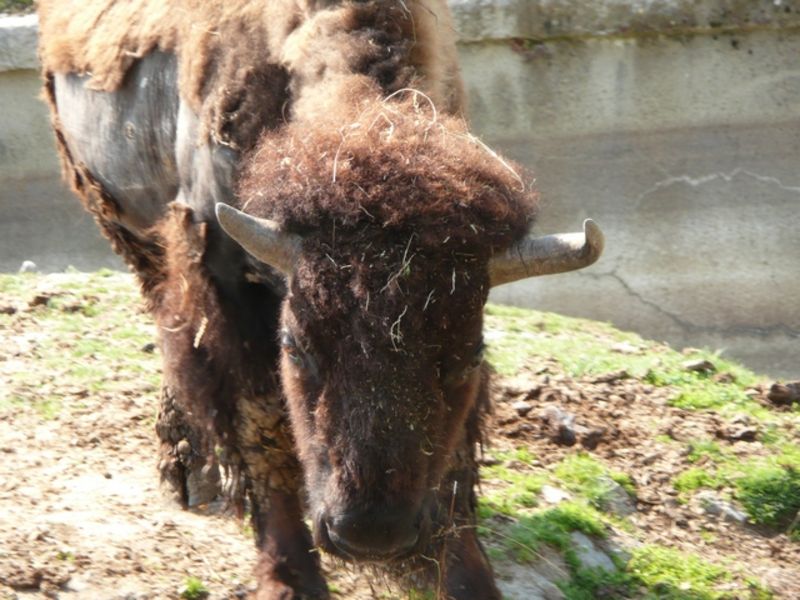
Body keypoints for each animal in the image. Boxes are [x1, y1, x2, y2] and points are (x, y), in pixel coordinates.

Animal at [37, 1, 603, 598]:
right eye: (296, 346)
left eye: (469, 355)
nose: (371, 534)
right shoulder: (226, 281)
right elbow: (261, 424)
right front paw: (289, 579)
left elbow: (455, 460)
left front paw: (467, 578)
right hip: (125, 229)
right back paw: (190, 473)